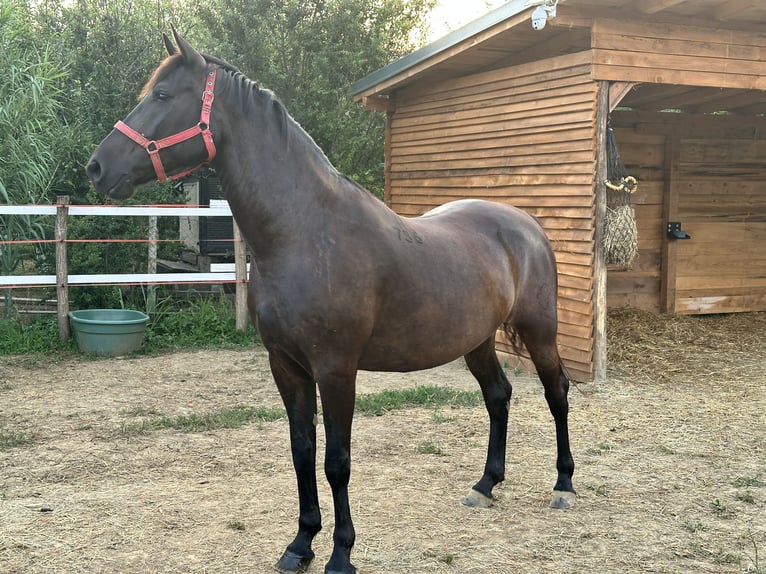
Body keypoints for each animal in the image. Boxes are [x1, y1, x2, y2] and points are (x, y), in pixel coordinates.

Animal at [87, 30, 576, 574]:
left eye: (162, 95)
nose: (97, 167)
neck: (303, 233)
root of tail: (526, 223)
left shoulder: (336, 368)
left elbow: (336, 461)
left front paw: (341, 553)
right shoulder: (286, 366)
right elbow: (302, 451)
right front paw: (300, 543)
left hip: (539, 331)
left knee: (557, 393)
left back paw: (563, 484)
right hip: (476, 340)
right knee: (498, 396)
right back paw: (485, 484)